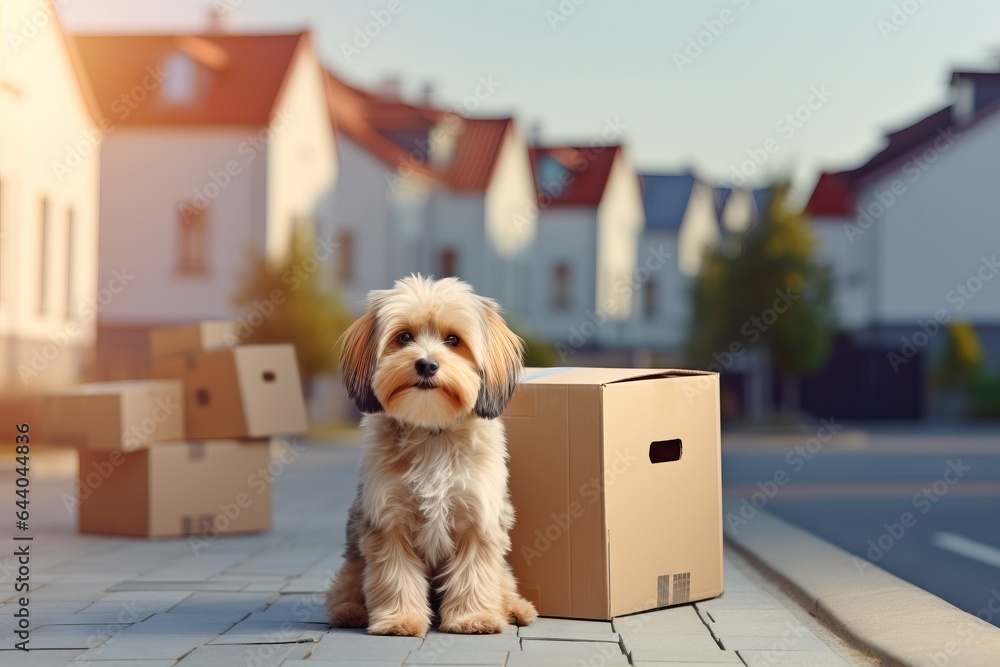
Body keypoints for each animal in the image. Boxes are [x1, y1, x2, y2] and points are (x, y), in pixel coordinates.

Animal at [326, 276, 540, 636]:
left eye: (453, 340)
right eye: (404, 337)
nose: (426, 364)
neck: (431, 431)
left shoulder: (477, 520)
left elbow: (474, 574)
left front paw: (472, 618)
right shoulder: (389, 521)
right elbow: (395, 576)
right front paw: (399, 619)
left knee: (503, 583)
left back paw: (515, 608)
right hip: (353, 562)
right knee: (343, 587)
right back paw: (348, 611)